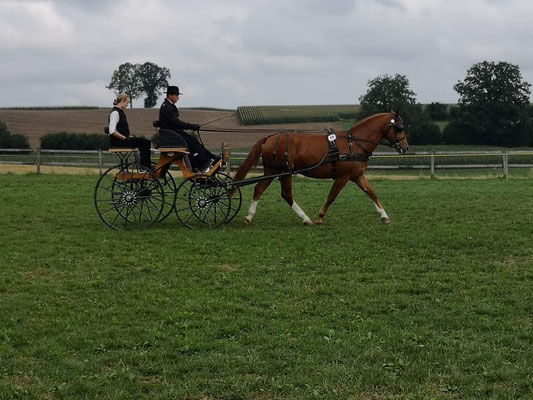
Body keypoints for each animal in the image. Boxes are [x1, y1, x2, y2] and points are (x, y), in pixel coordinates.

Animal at [232, 112, 408, 225]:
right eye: (399, 128)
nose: (405, 148)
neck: (355, 143)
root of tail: (270, 138)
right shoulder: (343, 177)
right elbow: (331, 197)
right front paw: (320, 217)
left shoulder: (357, 175)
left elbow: (372, 193)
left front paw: (384, 216)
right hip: (284, 171)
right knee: (286, 194)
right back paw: (306, 219)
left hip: (272, 171)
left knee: (259, 189)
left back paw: (249, 217)